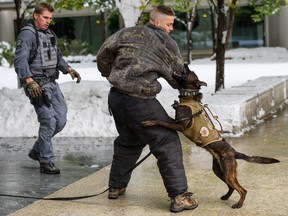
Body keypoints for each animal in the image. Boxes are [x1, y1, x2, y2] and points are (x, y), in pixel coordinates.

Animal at [143, 63, 280, 208]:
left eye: (190, 72)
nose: (185, 64)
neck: (189, 96)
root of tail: (234, 152)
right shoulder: (176, 121)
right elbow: (166, 120)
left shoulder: (180, 126)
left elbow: (162, 122)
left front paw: (148, 122)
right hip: (219, 171)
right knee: (232, 187)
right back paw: (226, 196)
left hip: (227, 172)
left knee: (242, 190)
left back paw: (238, 204)